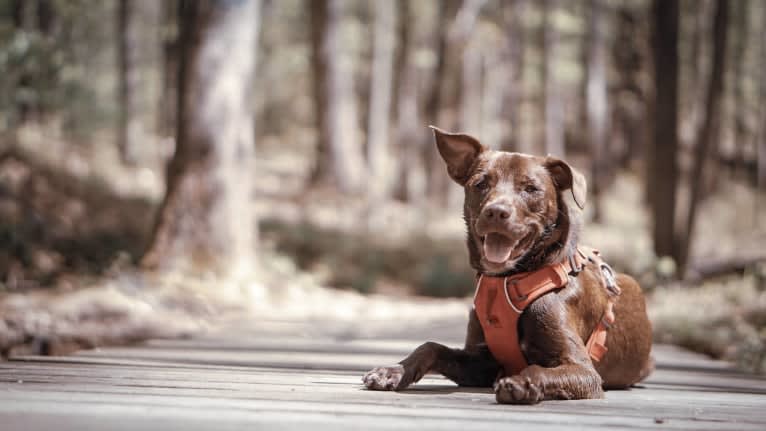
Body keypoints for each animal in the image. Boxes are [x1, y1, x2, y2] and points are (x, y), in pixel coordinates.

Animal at [364, 127, 656, 404]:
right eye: (481, 184)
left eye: (531, 188)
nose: (496, 212)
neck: (508, 280)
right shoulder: (482, 364)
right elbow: (431, 346)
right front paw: (394, 371)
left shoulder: (584, 370)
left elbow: (538, 369)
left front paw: (523, 383)